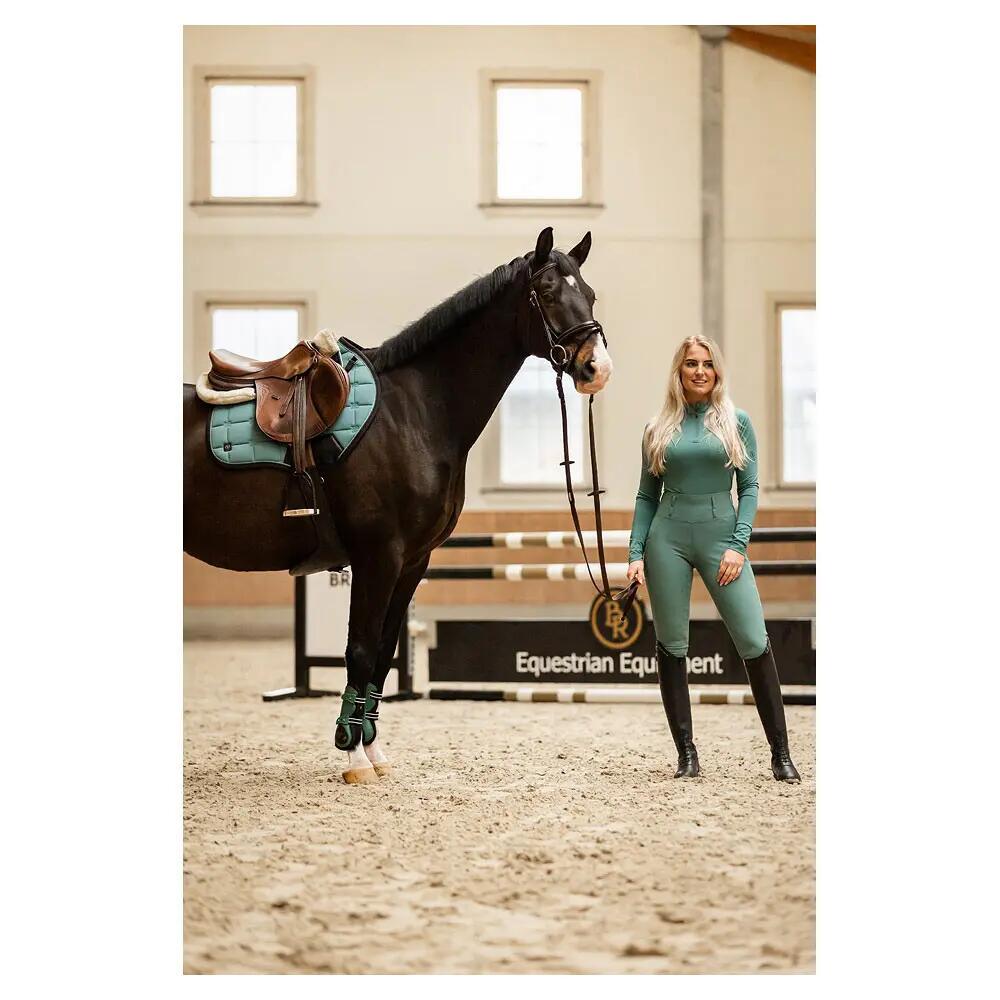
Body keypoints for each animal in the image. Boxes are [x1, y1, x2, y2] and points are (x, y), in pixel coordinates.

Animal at [183, 227, 613, 783]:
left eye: (590, 294)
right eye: (547, 292)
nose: (596, 367)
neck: (415, 411)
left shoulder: (412, 561)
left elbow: (384, 653)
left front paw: (372, 748)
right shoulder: (378, 556)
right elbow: (361, 649)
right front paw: (351, 754)